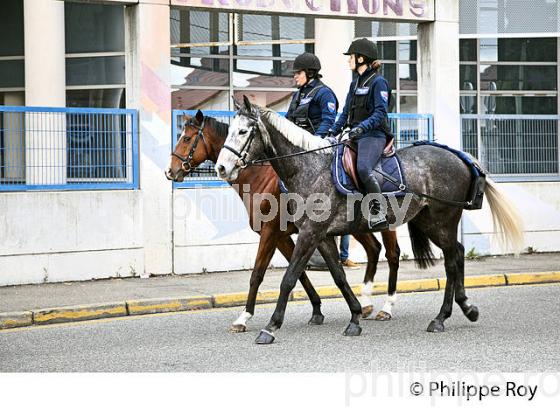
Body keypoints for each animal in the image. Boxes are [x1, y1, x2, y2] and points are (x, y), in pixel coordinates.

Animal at [164, 109, 400, 334]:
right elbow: (300, 274)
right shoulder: (282, 237)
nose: (170, 171)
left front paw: (244, 317)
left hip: (383, 223)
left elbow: (258, 274)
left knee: (392, 254)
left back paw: (387, 308)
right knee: (374, 249)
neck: (259, 176)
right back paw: (367, 304)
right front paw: (316, 310)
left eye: (186, 138)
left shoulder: (271, 233)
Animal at [215, 97, 524, 346]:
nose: (221, 168)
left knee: (449, 259)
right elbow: (338, 276)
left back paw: (441, 316)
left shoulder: (307, 233)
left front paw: (269, 327)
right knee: (455, 254)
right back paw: (461, 309)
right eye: (229, 131)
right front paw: (354, 316)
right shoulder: (319, 235)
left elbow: (288, 278)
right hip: (429, 222)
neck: (309, 169)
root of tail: (458, 156)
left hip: (441, 221)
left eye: (243, 131)